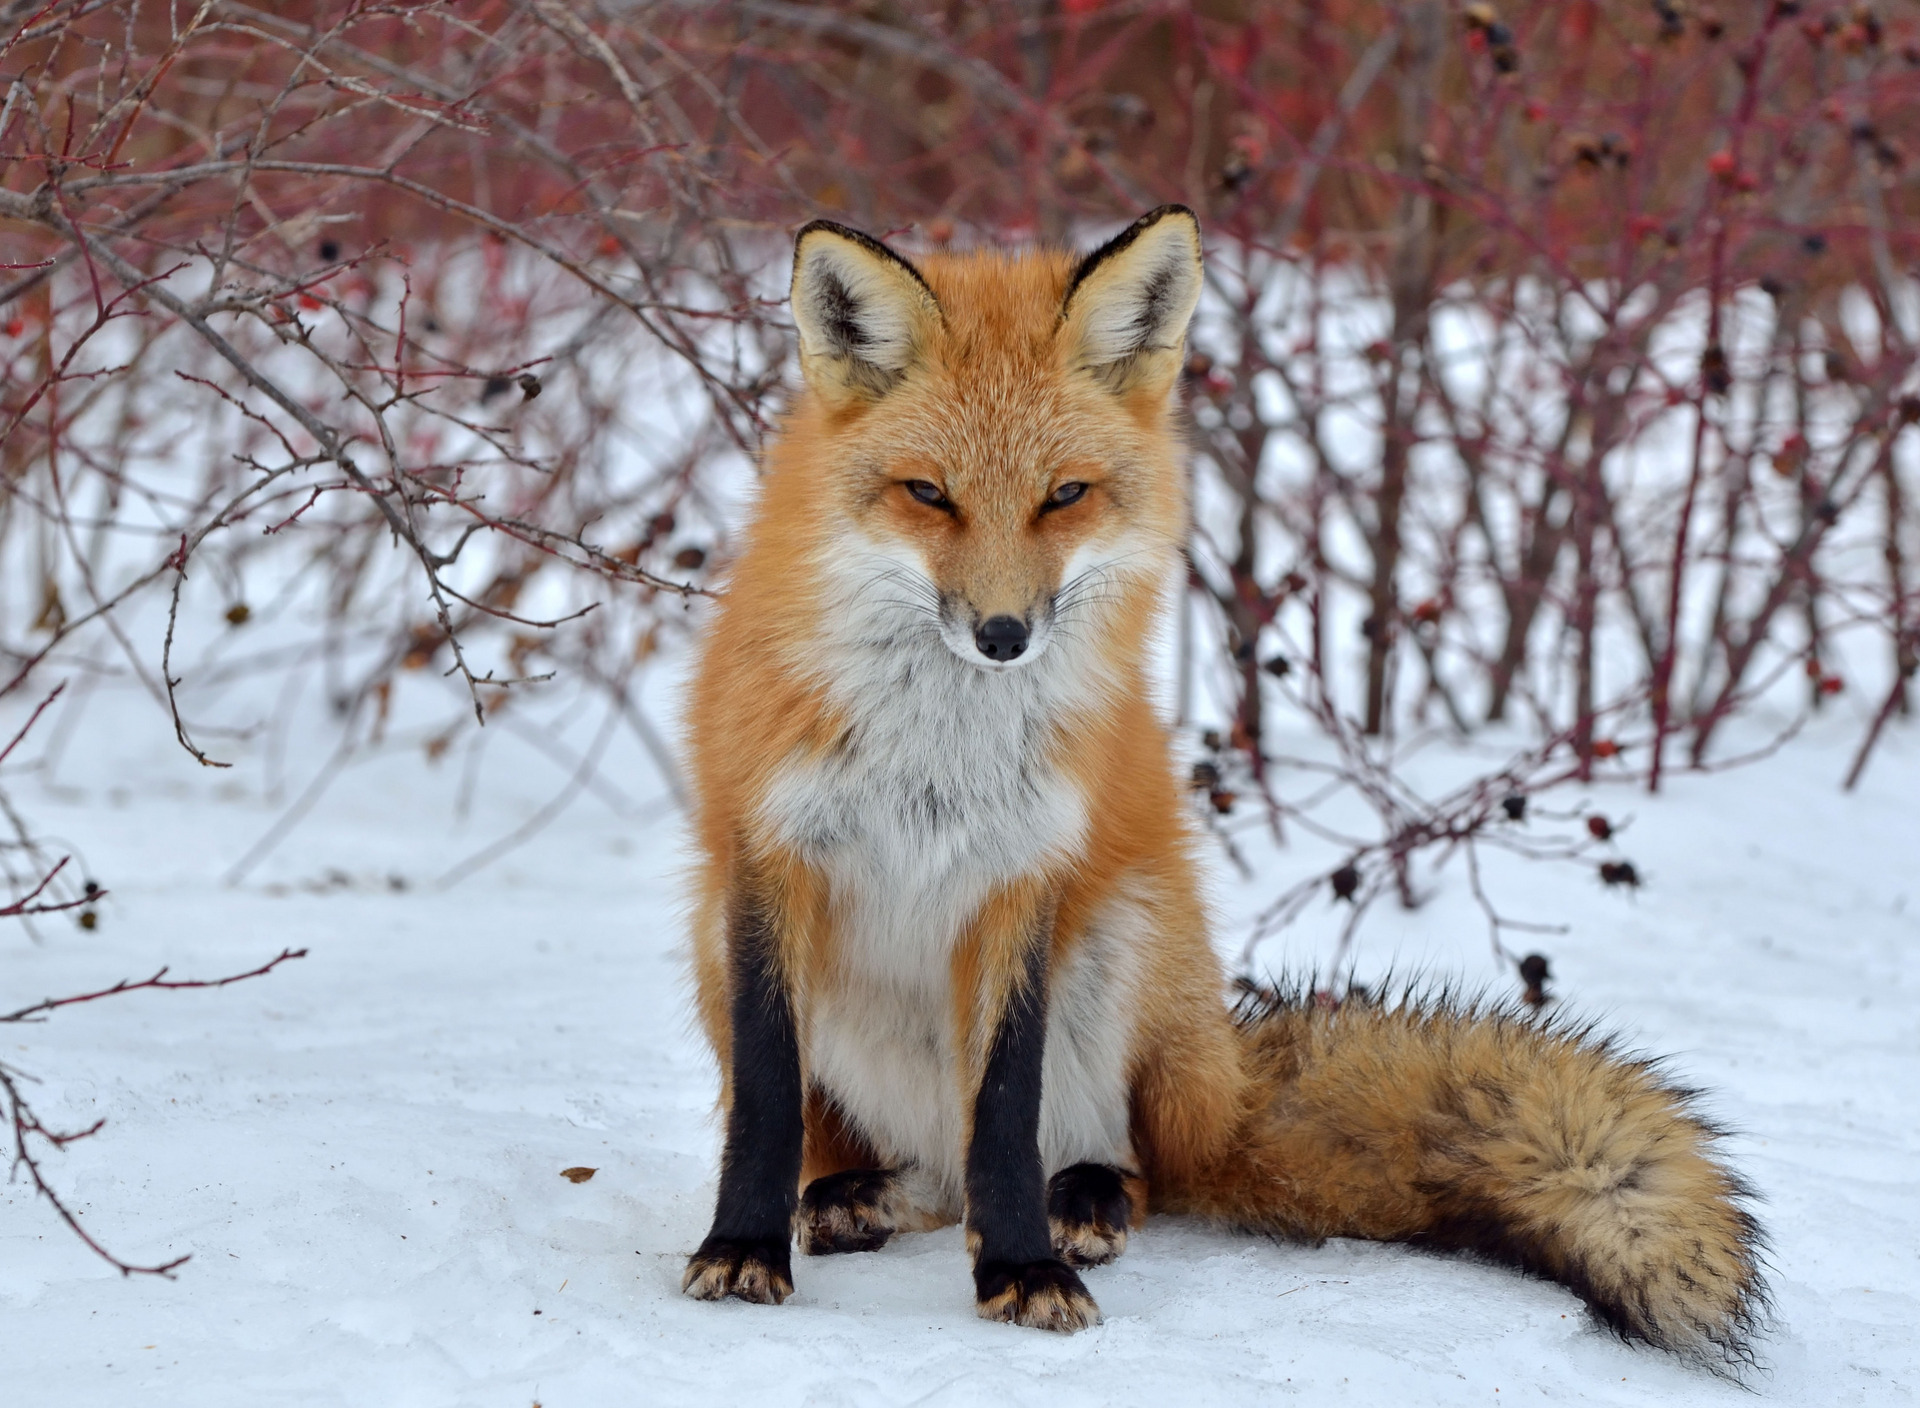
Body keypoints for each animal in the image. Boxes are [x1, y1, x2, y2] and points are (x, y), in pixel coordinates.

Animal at [683, 208, 1758, 1359]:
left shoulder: (1024, 876)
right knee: (928, 1176)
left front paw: (1022, 1269)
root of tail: (1230, 1086)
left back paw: (1082, 1204)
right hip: (717, 942)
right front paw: (742, 1249)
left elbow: (1007, 1107)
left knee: (1108, 1163)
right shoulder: (770, 857)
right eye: (929, 493)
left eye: (1064, 495)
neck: (936, 750)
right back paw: (859, 1195)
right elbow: (765, 1101)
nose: (1004, 636)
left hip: (1128, 937)